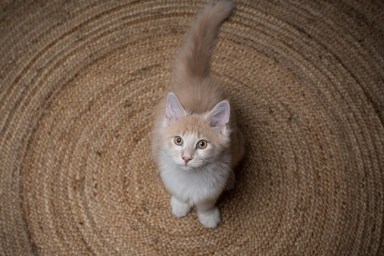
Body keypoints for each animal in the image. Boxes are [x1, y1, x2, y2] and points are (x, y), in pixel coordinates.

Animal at [152, 0, 244, 228]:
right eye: (178, 140)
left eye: (202, 144)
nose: (186, 158)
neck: (190, 178)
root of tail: (197, 78)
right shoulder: (169, 175)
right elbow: (179, 194)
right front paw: (180, 206)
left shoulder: (212, 187)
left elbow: (206, 203)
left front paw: (208, 217)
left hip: (239, 143)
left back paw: (231, 180)